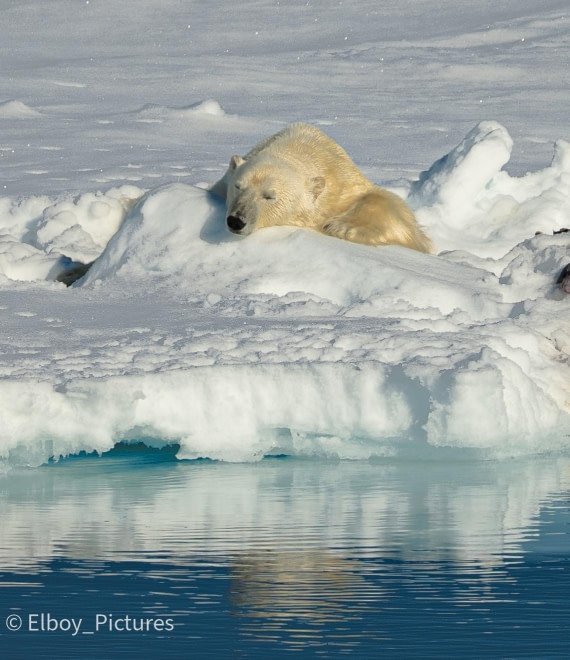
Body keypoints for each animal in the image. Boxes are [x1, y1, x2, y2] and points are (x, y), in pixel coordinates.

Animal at [210, 123, 433, 253]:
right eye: (238, 186)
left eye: (269, 196)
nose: (236, 220)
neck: (297, 150)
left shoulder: (343, 187)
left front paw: (343, 227)